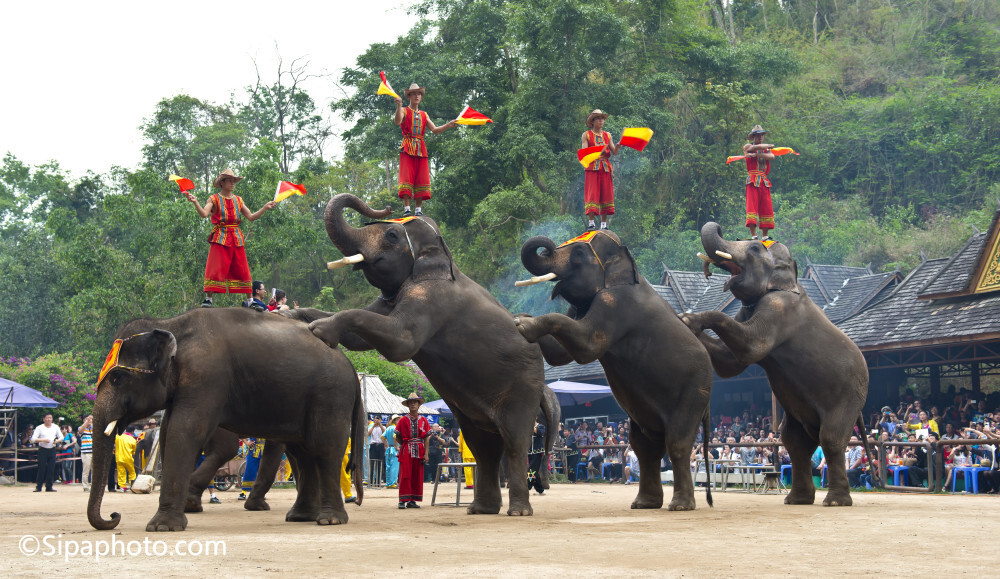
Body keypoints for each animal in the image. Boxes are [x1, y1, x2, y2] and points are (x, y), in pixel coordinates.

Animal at [88, 310, 366, 532]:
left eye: (118, 379)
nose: (114, 515)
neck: (171, 324)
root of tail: (350, 365)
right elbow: (170, 431)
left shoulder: (207, 376)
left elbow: (185, 431)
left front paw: (161, 527)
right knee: (303, 451)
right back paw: (300, 517)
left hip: (330, 395)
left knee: (324, 448)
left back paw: (329, 520)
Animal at [308, 194, 560, 516]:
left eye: (391, 236)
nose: (386, 206)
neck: (441, 254)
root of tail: (543, 388)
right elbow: (360, 339)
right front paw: (297, 317)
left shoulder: (433, 297)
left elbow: (400, 342)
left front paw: (320, 329)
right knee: (484, 447)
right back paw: (480, 510)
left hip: (521, 389)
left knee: (515, 442)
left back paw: (516, 511)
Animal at [512, 231, 716, 512]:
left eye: (578, 254)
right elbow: (559, 354)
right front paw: (519, 317)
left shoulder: (616, 303)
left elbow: (587, 345)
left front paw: (522, 324)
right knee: (644, 447)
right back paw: (644, 504)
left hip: (694, 392)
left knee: (677, 443)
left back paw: (680, 506)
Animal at [676, 223, 872, 508]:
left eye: (754, 249)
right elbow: (729, 363)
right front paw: (684, 321)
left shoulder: (780, 308)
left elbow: (750, 347)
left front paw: (689, 319)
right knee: (795, 442)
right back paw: (797, 500)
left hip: (848, 396)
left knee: (831, 439)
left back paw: (835, 502)